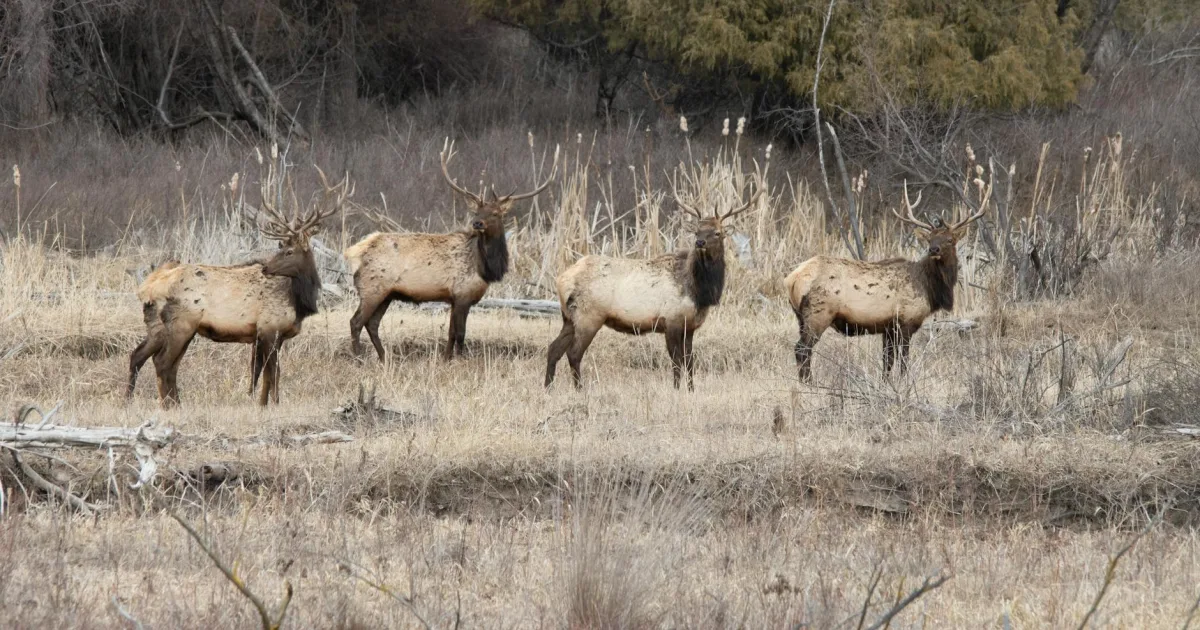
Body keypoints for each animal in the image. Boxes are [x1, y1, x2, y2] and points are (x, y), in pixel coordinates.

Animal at [127, 168, 351, 408]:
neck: (298, 302)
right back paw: (168, 405)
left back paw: (141, 400)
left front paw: (261, 405)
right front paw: (275, 404)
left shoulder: (267, 336)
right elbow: (274, 373)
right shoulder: (269, 328)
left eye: (289, 251)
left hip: (158, 326)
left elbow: (263, 375)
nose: (266, 268)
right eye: (283, 248)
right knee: (162, 362)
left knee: (141, 356)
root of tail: (147, 287)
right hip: (182, 323)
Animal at [344, 142, 557, 360]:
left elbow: (451, 332)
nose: (477, 223)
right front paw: (460, 360)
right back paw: (359, 358)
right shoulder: (463, 294)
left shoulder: (455, 298)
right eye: (476, 211)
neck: (484, 267)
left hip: (386, 293)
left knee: (372, 324)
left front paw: (446, 358)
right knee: (356, 322)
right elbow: (461, 333)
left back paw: (384, 357)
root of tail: (355, 251)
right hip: (372, 288)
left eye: (496, 213)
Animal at [545, 181, 760, 391]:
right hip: (589, 316)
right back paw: (580, 389)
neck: (699, 292)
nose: (699, 242)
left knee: (553, 348)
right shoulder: (671, 320)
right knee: (573, 353)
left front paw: (691, 390)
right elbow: (676, 361)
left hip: (569, 318)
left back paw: (548, 388)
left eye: (717, 232)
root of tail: (561, 280)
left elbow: (690, 360)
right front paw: (676, 389)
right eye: (697, 231)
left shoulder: (689, 326)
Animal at [785, 181, 988, 381]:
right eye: (930, 239)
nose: (934, 249)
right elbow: (904, 360)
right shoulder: (906, 321)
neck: (929, 287)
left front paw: (886, 383)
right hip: (818, 313)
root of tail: (792, 279)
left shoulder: (888, 328)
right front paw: (905, 383)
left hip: (800, 317)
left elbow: (887, 361)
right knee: (802, 349)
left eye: (950, 239)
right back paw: (809, 384)